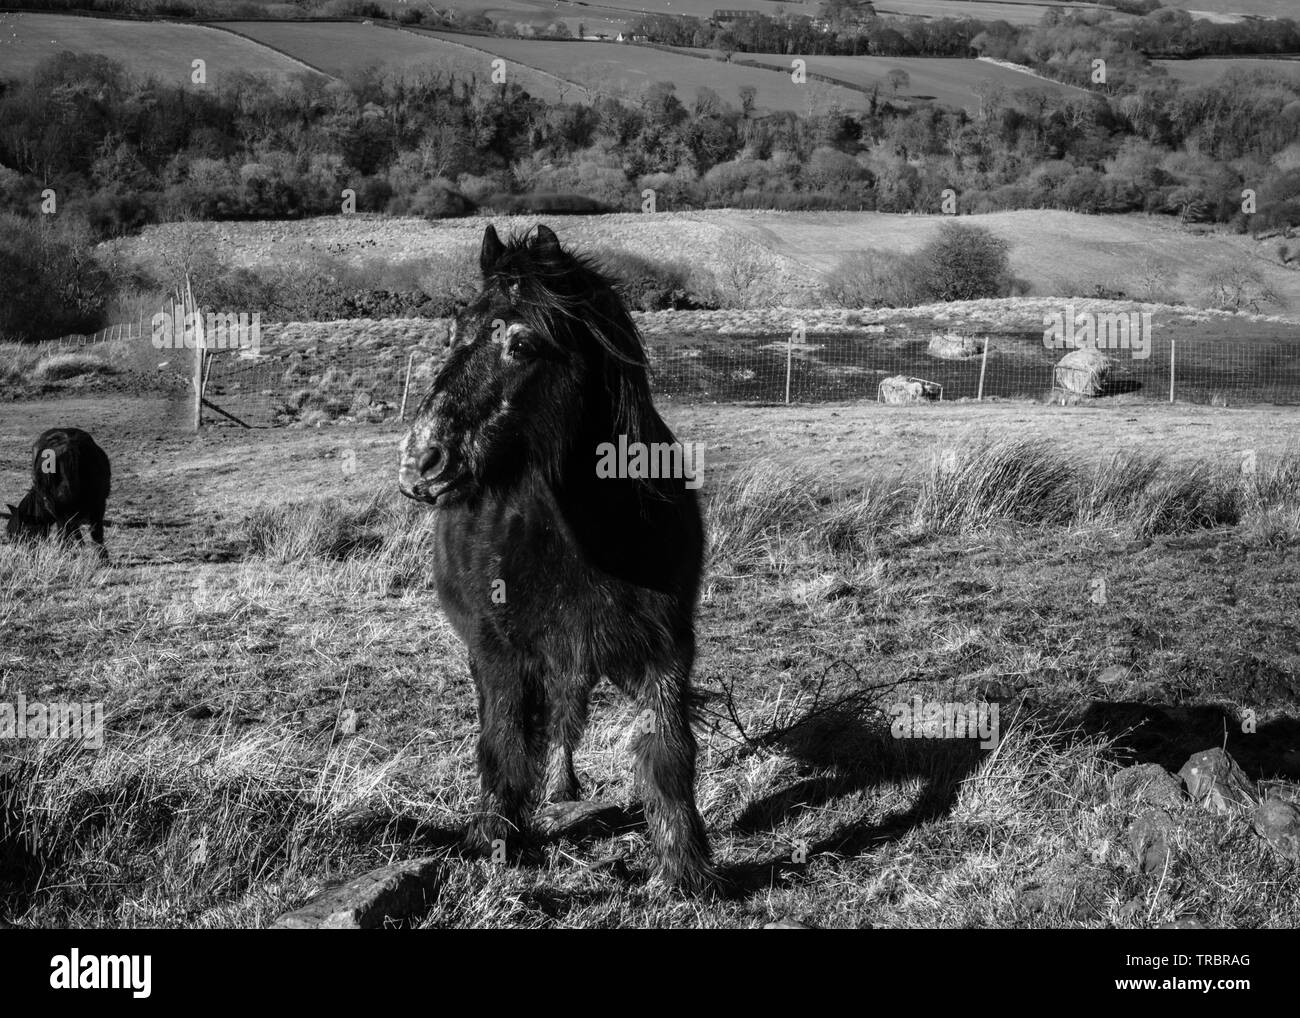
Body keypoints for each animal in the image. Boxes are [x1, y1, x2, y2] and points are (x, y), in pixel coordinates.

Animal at [397, 224, 711, 889]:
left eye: (521, 344)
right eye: (454, 333)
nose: (419, 463)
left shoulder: (667, 646)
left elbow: (667, 751)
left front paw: (684, 873)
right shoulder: (500, 653)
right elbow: (504, 745)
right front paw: (493, 845)